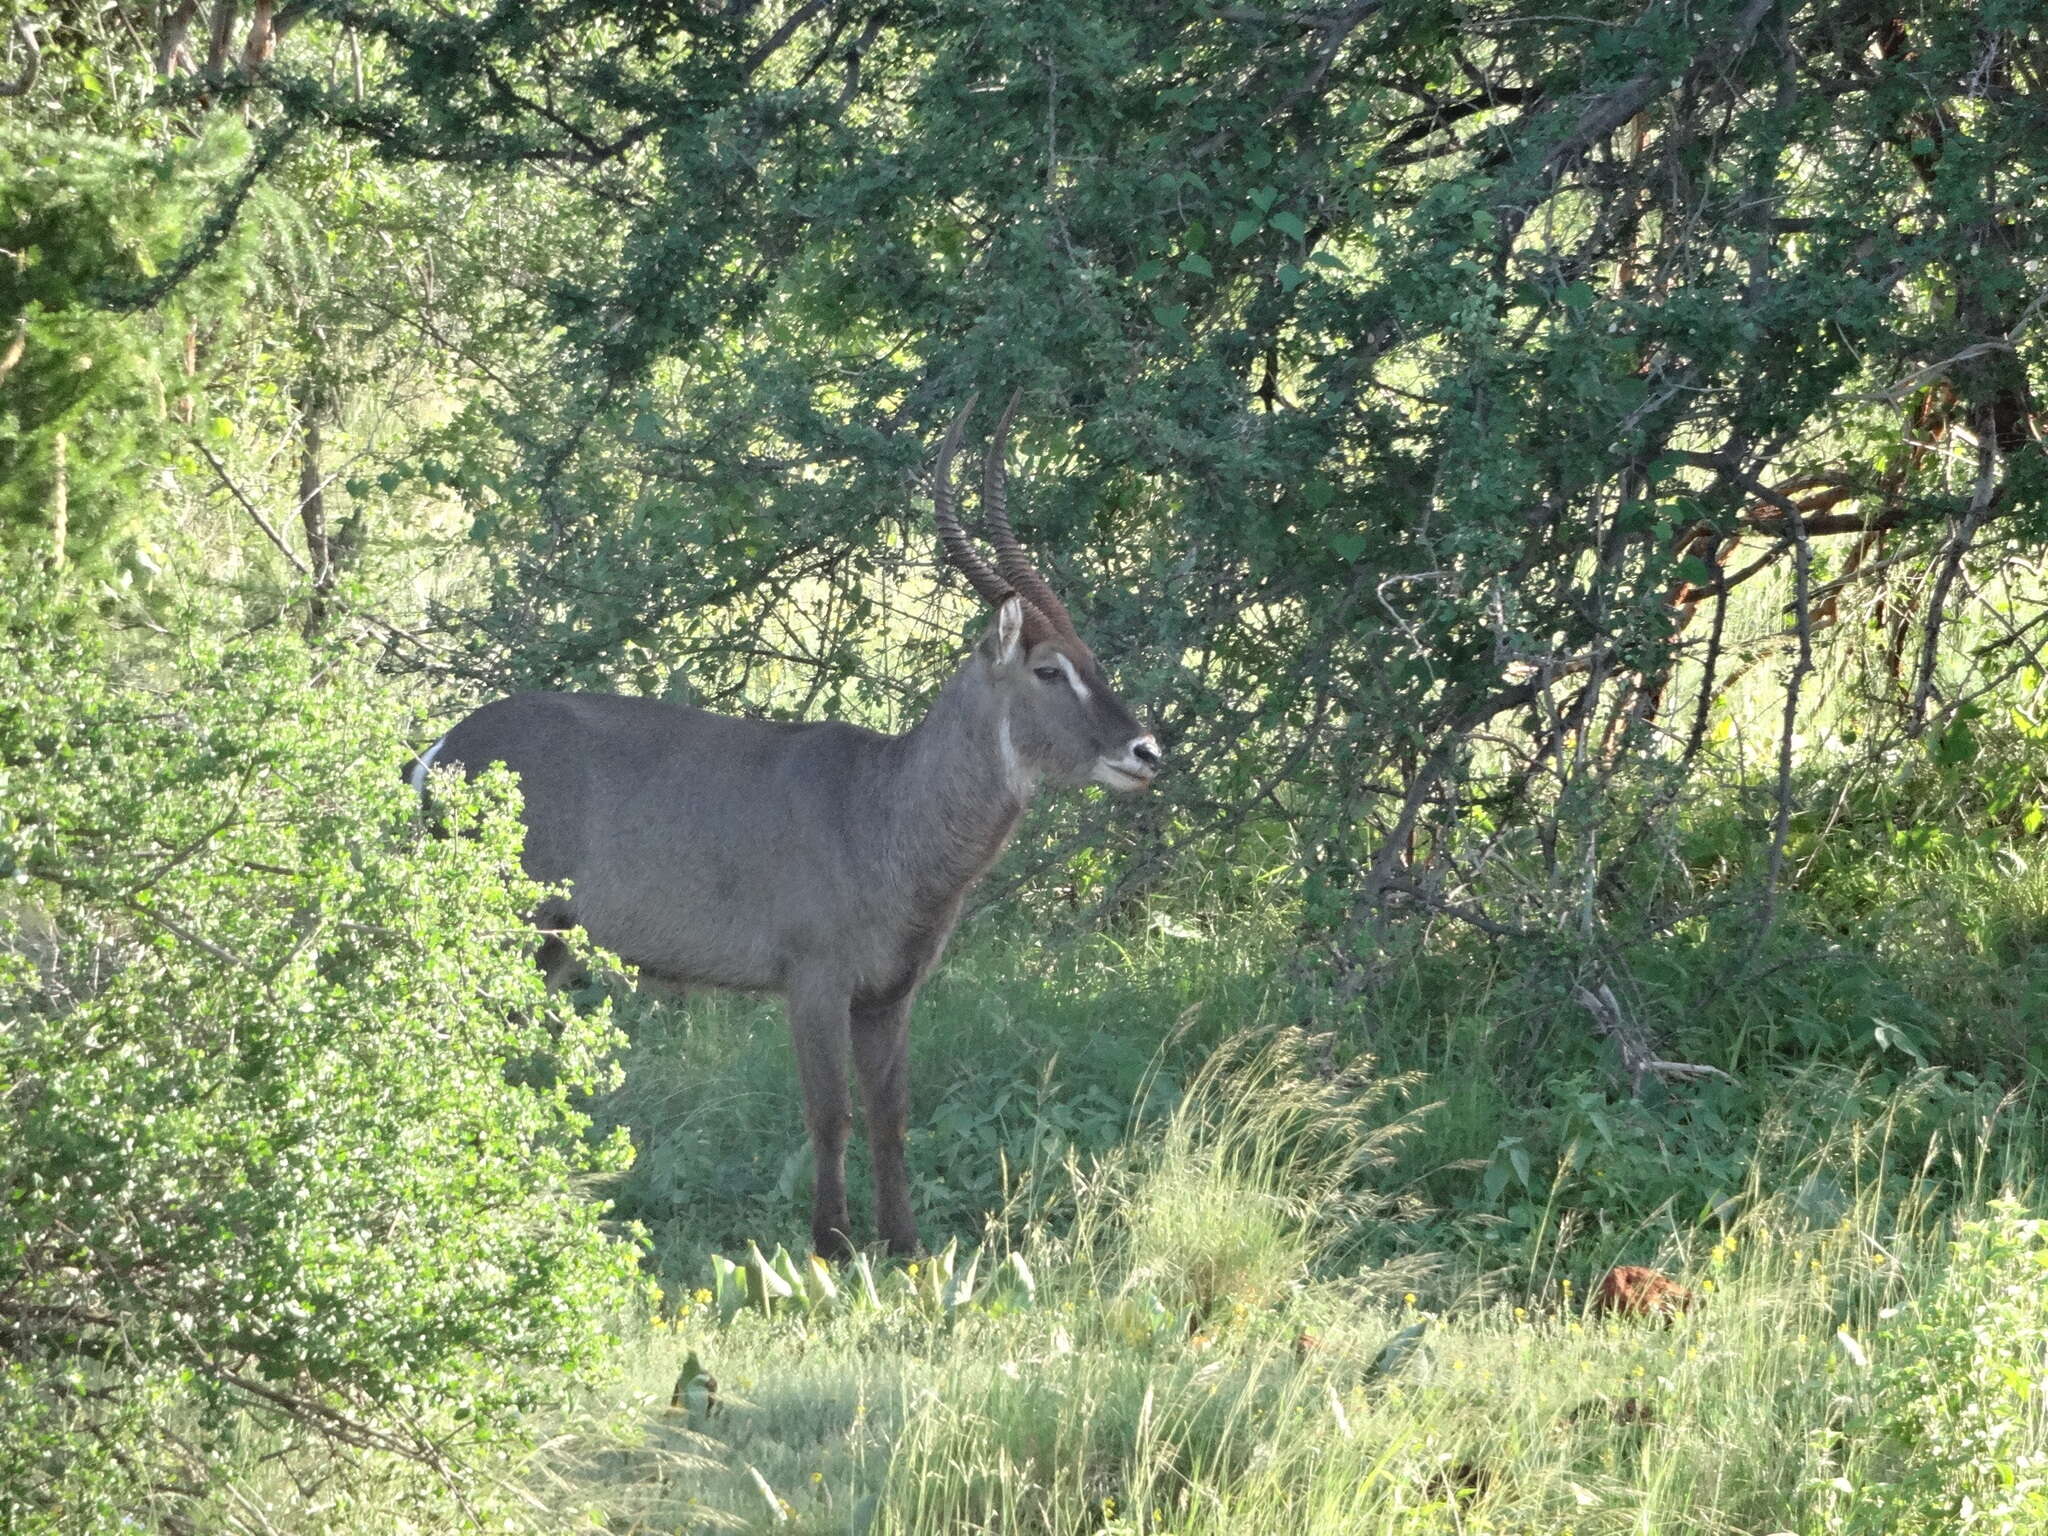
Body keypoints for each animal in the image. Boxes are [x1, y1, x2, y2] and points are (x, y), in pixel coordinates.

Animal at [407, 397, 1163, 1261]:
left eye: (1089, 656)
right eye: (1047, 669)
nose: (1146, 751)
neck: (884, 808)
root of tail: (440, 751)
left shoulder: (890, 996)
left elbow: (892, 1116)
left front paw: (904, 1248)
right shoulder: (814, 982)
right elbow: (829, 1113)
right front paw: (831, 1246)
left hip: (552, 952)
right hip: (496, 934)